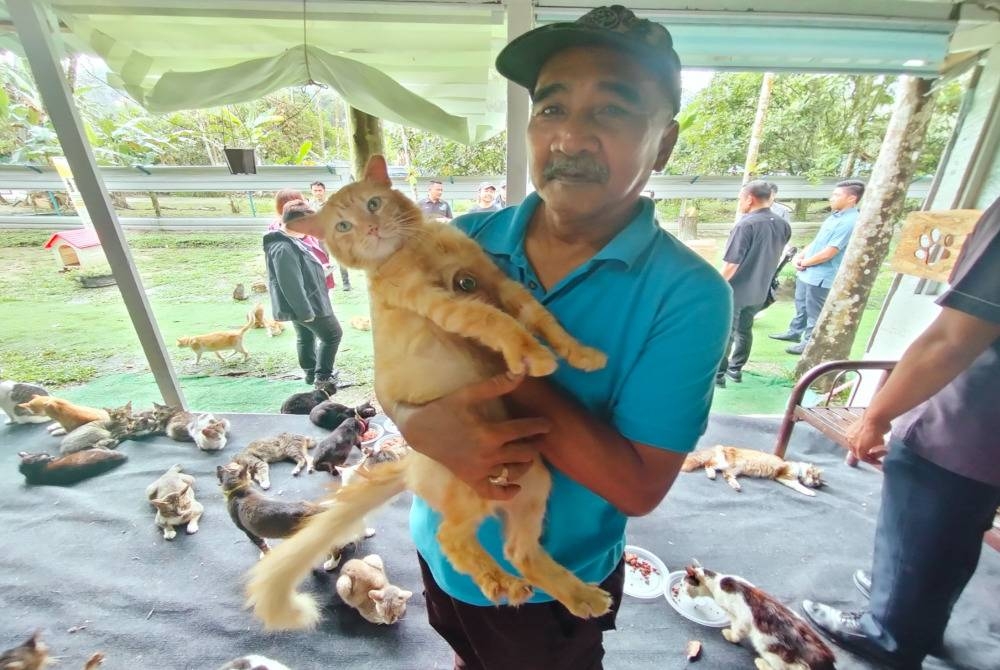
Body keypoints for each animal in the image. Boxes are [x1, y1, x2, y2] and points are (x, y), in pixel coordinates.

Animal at [246, 159, 612, 636]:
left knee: (518, 551)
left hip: (532, 483)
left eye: (373, 203)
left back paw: (580, 594)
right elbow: (494, 320)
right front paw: (531, 354)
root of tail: (412, 464)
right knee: (451, 538)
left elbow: (540, 316)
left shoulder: (497, 281)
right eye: (343, 226)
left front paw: (580, 353)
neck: (418, 248)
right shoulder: (442, 303)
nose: (370, 229)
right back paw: (500, 583)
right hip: (471, 487)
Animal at [680, 446, 828, 498]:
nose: (816, 485)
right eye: (815, 478)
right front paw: (810, 492)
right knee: (708, 464)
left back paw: (736, 486)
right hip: (724, 463)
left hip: (735, 469)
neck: (797, 467)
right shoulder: (785, 477)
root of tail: (721, 446)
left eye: (818, 481)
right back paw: (712, 475)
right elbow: (799, 486)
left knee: (726, 476)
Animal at [680, 568, 836, 670]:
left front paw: (730, 635)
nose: (678, 589)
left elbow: (737, 631)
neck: (718, 582)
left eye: (683, 583)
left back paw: (761, 664)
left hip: (767, 646)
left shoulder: (742, 617)